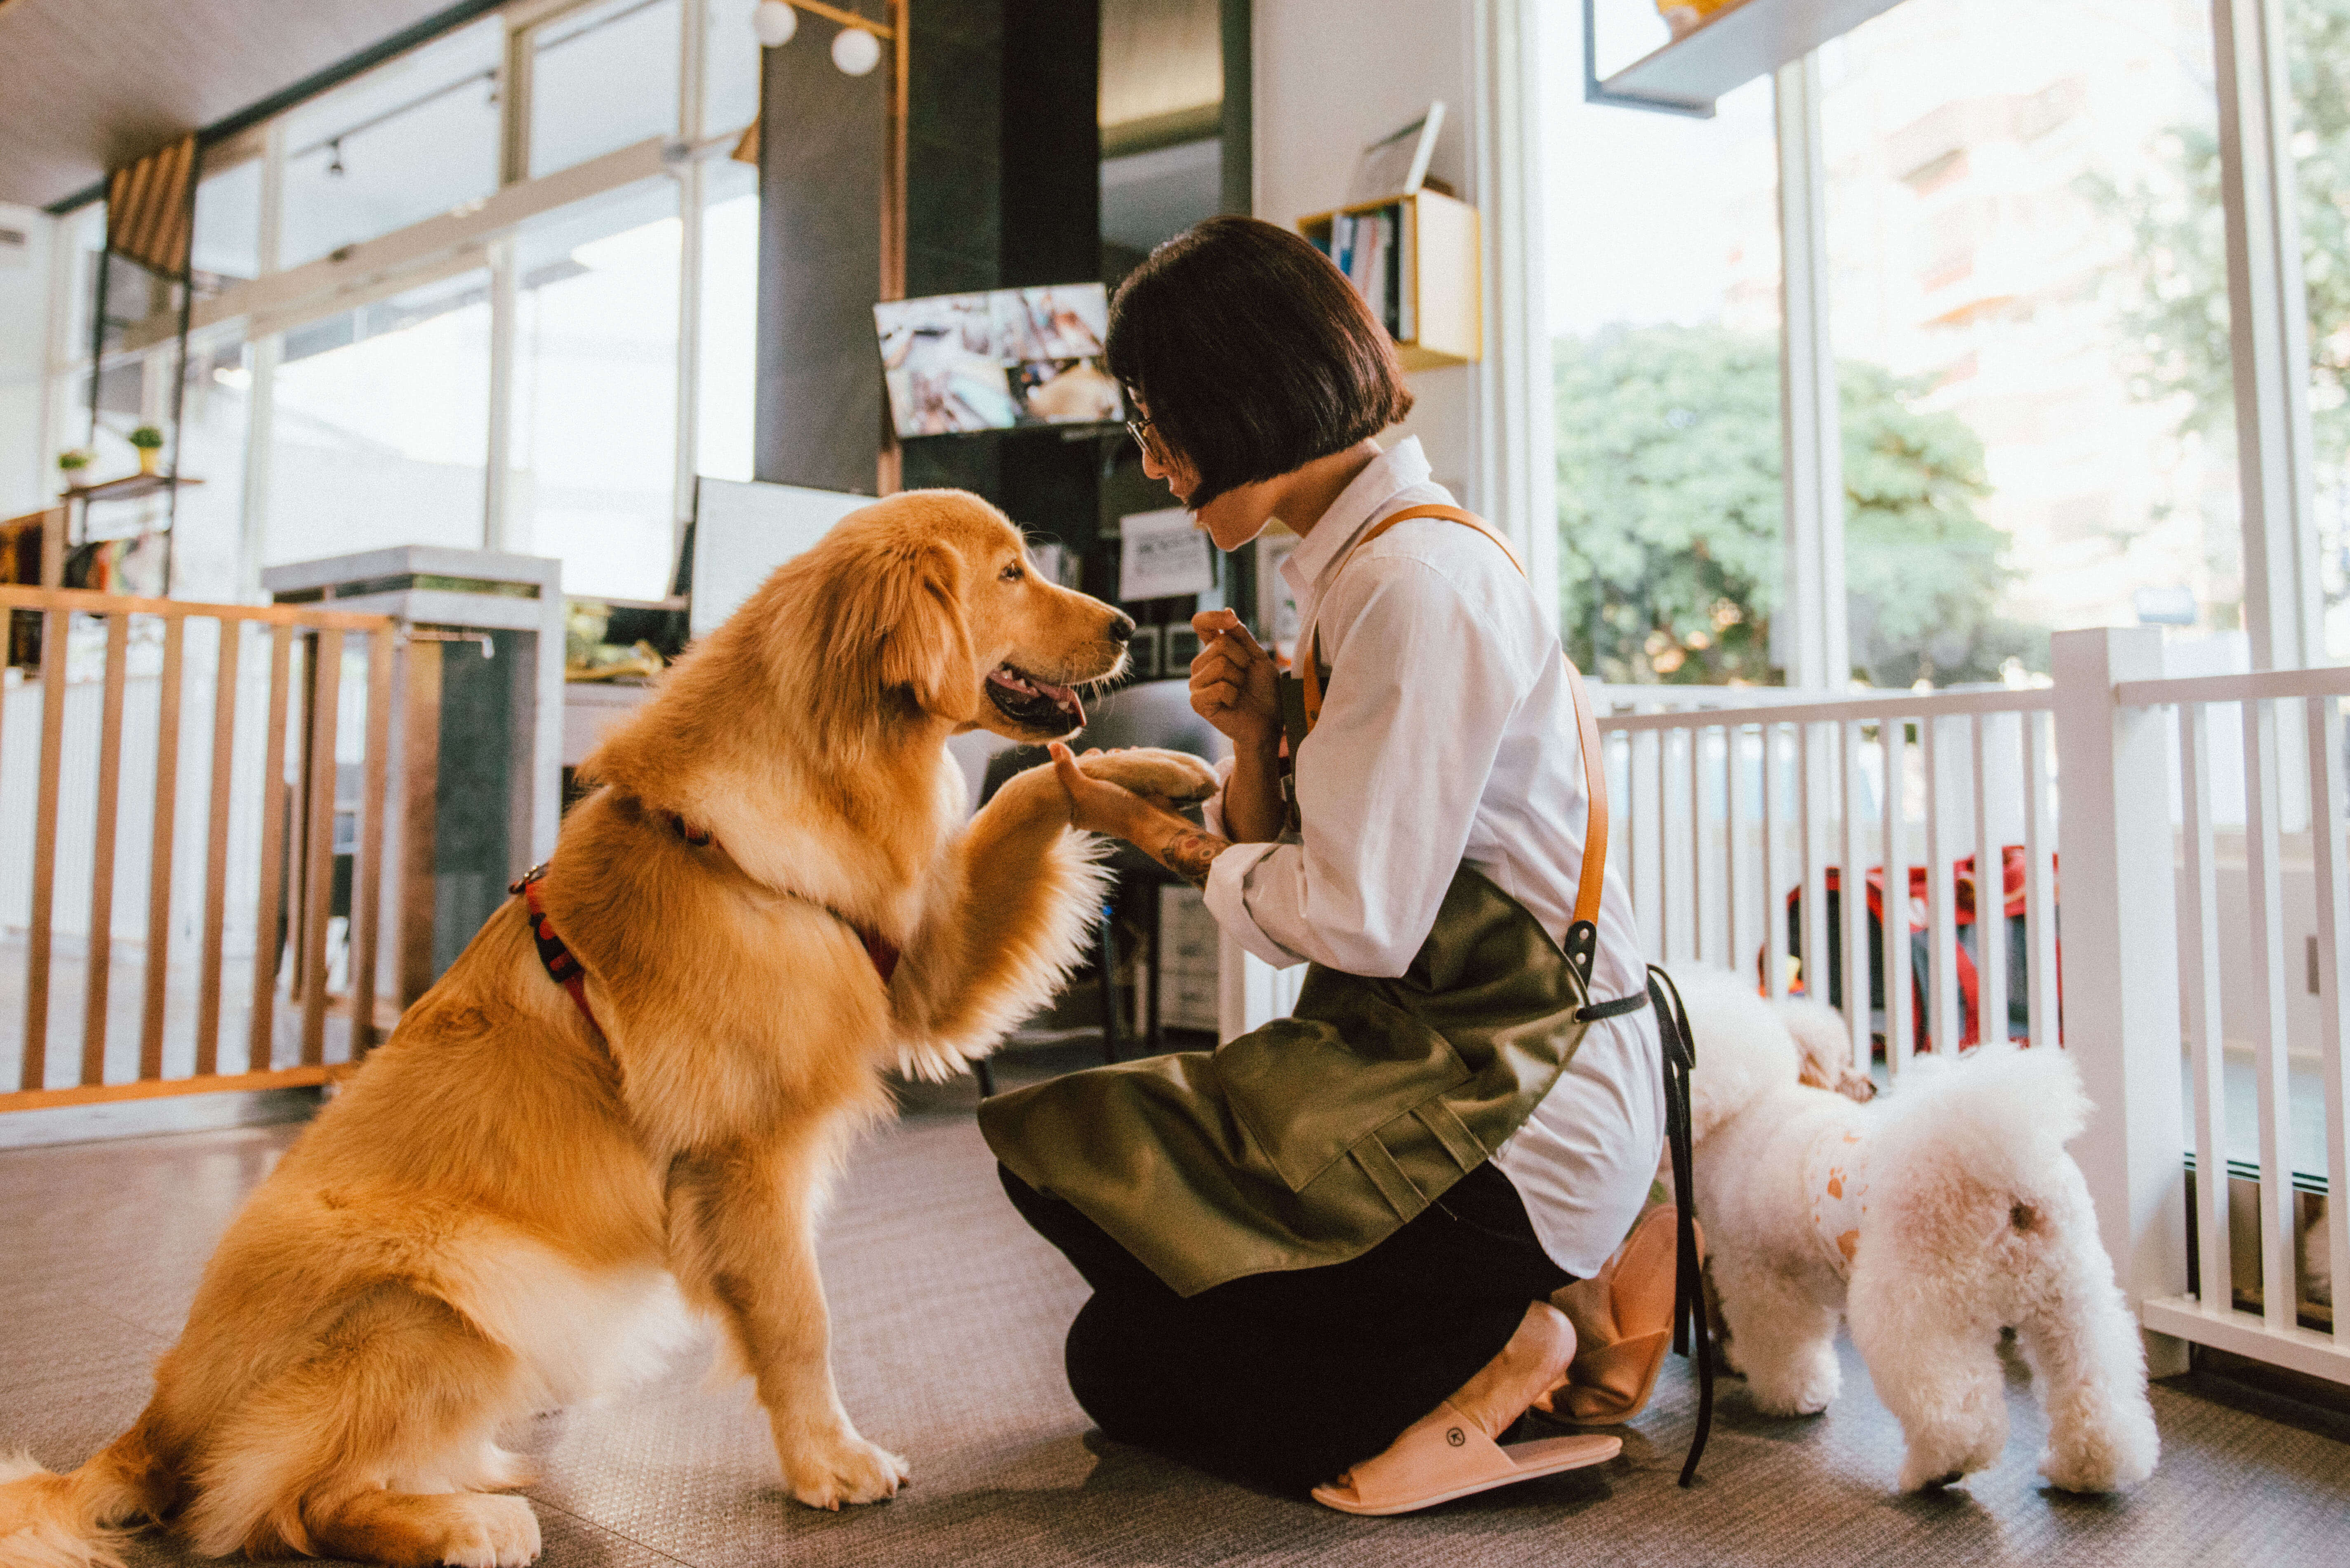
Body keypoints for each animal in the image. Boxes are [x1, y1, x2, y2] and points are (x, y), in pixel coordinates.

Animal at [0, 491, 1213, 1568]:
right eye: (1009, 572)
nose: (1128, 627)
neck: (810, 774)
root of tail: (155, 1417)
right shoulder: (746, 1153)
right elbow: (800, 1319)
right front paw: (829, 1462)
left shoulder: (918, 968)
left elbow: (1034, 789)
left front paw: (1162, 776)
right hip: (445, 1295)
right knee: (289, 1502)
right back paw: (466, 1525)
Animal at [1673, 969, 2162, 1495]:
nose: (1869, 1083)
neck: (1745, 1107)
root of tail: (2007, 1176)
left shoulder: (1762, 1280)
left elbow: (1782, 1344)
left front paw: (1794, 1395)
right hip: (2070, 1300)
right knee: (2094, 1388)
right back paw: (2089, 1466)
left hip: (1918, 1308)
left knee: (1952, 1406)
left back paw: (1940, 1467)